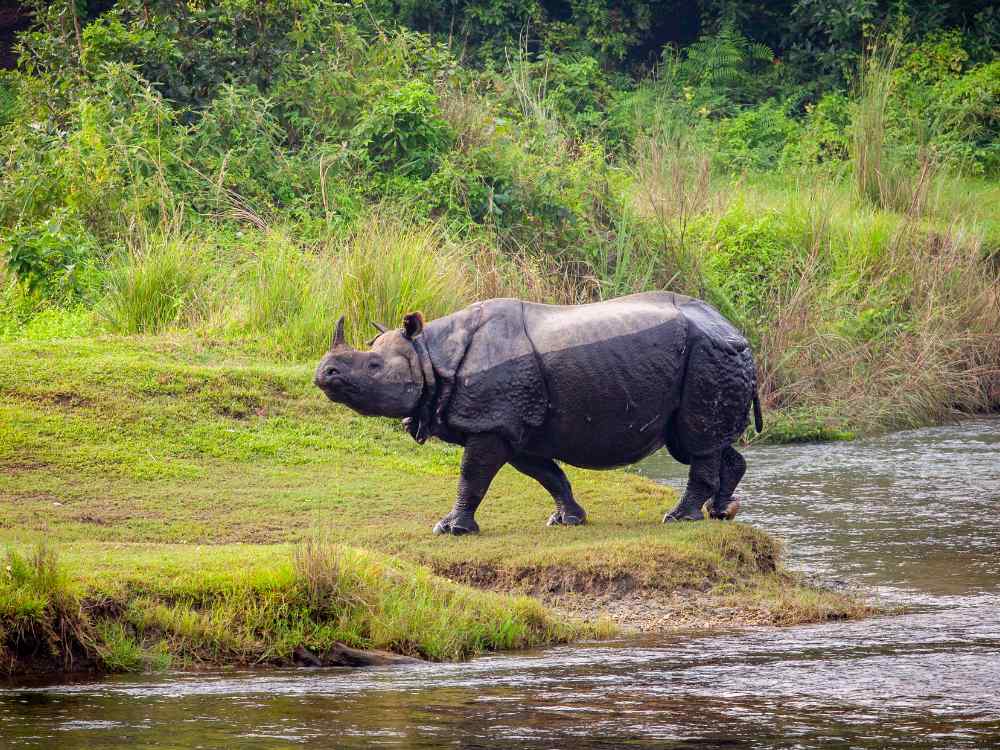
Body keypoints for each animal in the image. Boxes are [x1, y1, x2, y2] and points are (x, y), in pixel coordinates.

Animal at [314, 292, 761, 535]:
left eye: (373, 367)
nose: (324, 372)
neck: (430, 353)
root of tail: (736, 330)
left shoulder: (494, 421)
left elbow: (472, 476)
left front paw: (450, 529)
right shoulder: (515, 426)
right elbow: (548, 474)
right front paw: (568, 520)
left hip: (709, 356)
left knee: (696, 441)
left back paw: (679, 518)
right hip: (711, 358)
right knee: (704, 441)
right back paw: (721, 512)